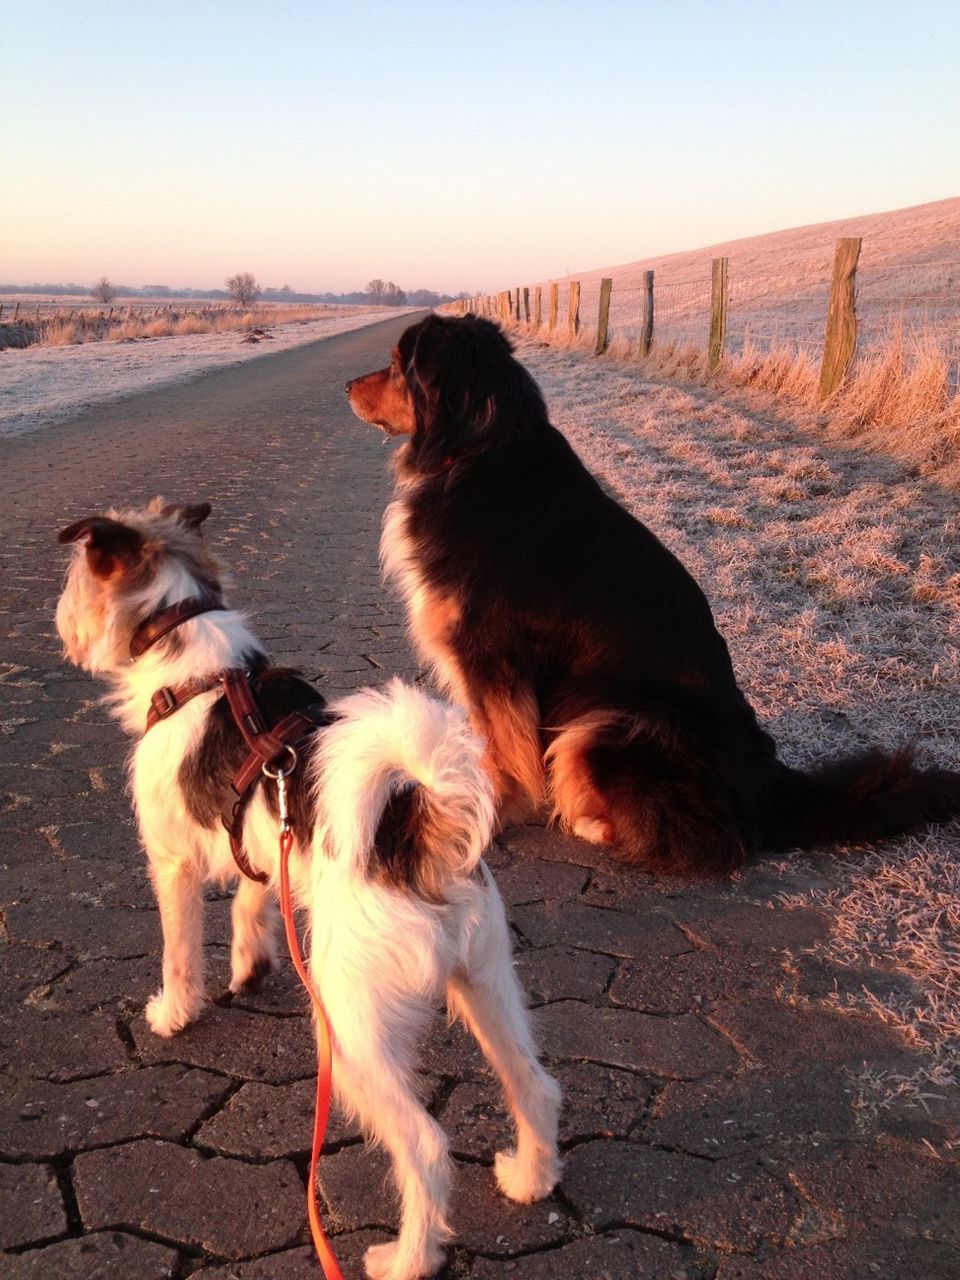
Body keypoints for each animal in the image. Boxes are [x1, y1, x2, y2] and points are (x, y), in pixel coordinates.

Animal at [54, 496, 563, 1280]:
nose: (61, 627)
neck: (197, 665)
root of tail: (411, 833)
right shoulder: (273, 853)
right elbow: (251, 898)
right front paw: (250, 963)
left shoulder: (171, 864)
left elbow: (178, 949)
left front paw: (174, 1012)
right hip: (485, 982)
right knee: (533, 1085)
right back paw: (529, 1180)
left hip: (350, 1035)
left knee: (425, 1145)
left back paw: (407, 1257)